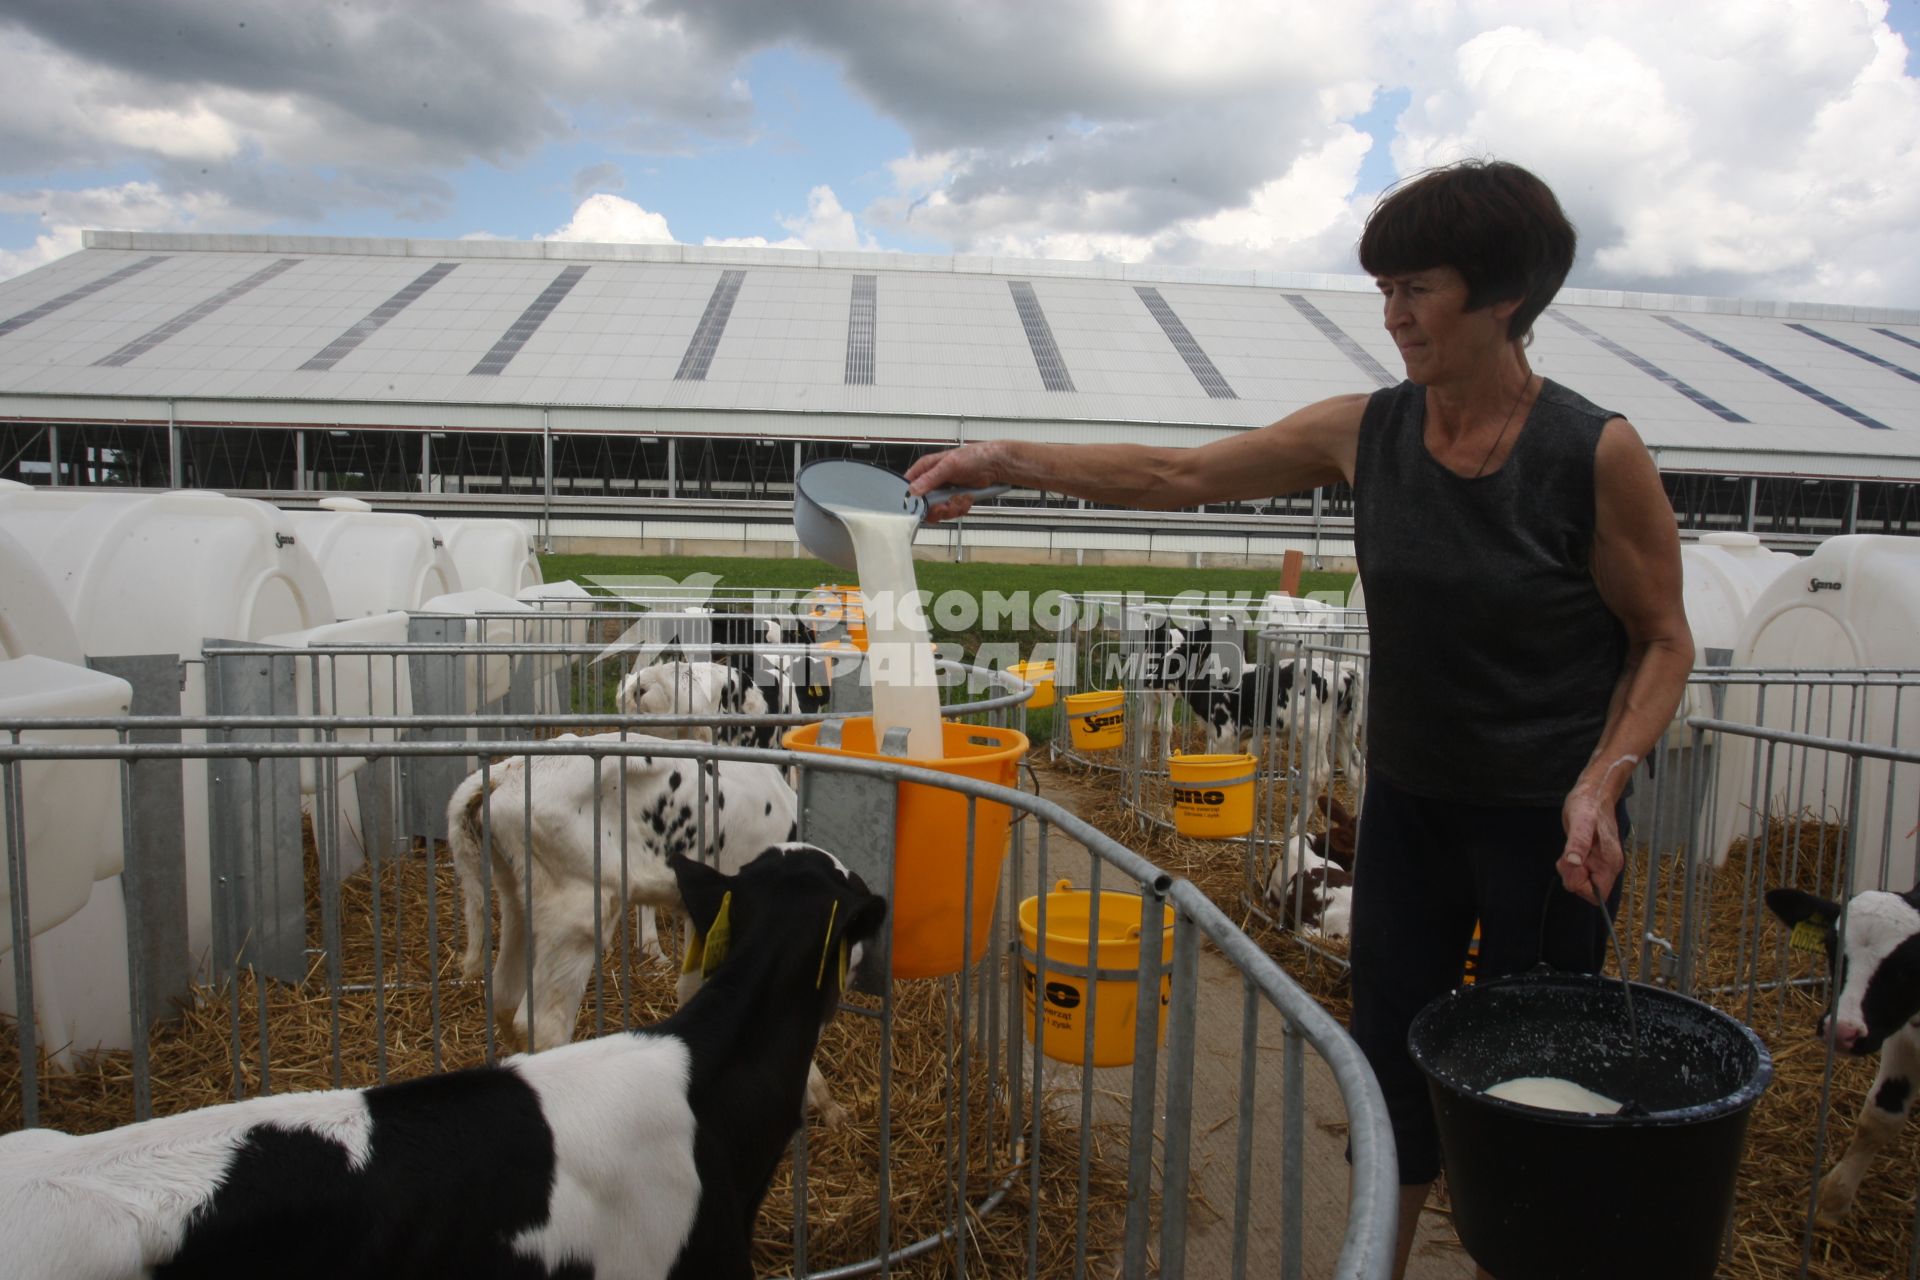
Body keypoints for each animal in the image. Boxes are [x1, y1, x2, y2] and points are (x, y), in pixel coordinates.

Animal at [1766, 886, 1920, 1228]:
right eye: (1830, 946)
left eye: (1910, 967)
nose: (1843, 1031)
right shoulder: (1904, 1035)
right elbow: (1879, 1118)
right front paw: (1833, 1198)